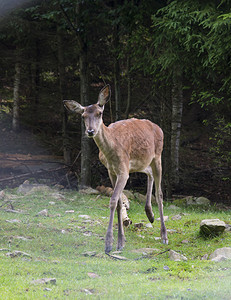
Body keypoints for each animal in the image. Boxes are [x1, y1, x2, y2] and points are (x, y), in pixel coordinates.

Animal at [63, 85, 168, 253]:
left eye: (99, 113)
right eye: (83, 116)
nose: (90, 131)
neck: (111, 152)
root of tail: (159, 128)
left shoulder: (123, 171)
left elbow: (113, 201)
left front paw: (109, 243)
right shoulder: (111, 171)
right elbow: (119, 203)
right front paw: (120, 241)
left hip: (158, 155)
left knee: (159, 193)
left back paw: (164, 235)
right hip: (142, 162)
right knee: (149, 174)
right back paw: (150, 214)